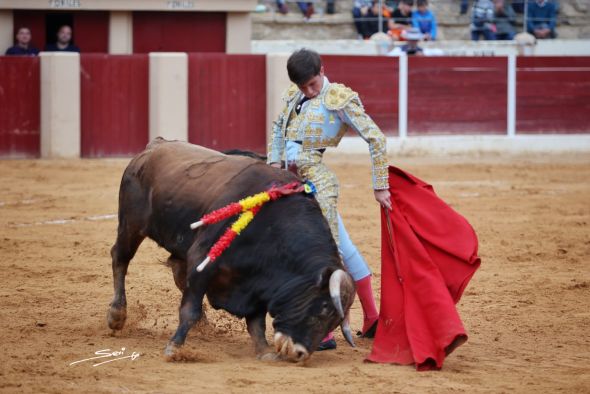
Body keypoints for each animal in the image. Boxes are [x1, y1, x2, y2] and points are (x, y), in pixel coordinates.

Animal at [106, 139, 356, 364]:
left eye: (335, 321)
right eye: (323, 308)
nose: (299, 354)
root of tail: (154, 146)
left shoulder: (258, 280)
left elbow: (256, 321)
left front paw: (264, 351)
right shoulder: (202, 258)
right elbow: (190, 308)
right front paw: (174, 348)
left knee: (177, 271)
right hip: (131, 225)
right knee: (120, 258)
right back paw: (116, 315)